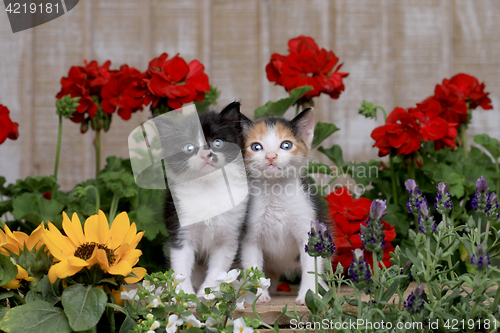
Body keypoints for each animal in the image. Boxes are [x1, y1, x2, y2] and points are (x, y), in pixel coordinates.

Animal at [158, 101, 248, 296]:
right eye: (188, 148)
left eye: (218, 143)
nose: (206, 154)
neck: (208, 188)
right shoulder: (180, 230)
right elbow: (181, 267)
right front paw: (185, 296)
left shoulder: (228, 238)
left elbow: (218, 271)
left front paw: (207, 296)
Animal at [239, 108, 328, 304]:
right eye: (256, 147)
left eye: (286, 145)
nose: (271, 156)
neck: (276, 191)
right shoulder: (249, 236)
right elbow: (252, 265)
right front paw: (257, 295)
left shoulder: (308, 228)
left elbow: (311, 266)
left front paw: (309, 294)